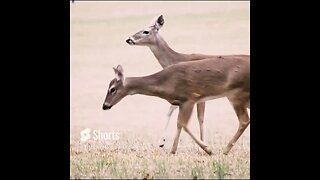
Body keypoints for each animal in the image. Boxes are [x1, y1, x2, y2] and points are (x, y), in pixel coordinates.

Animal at [102, 56, 250, 155]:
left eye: (112, 89)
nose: (105, 106)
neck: (165, 83)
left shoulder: (189, 98)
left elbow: (183, 124)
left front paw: (208, 149)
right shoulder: (180, 102)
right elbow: (179, 123)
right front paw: (173, 150)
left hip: (236, 93)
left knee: (244, 120)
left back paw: (226, 150)